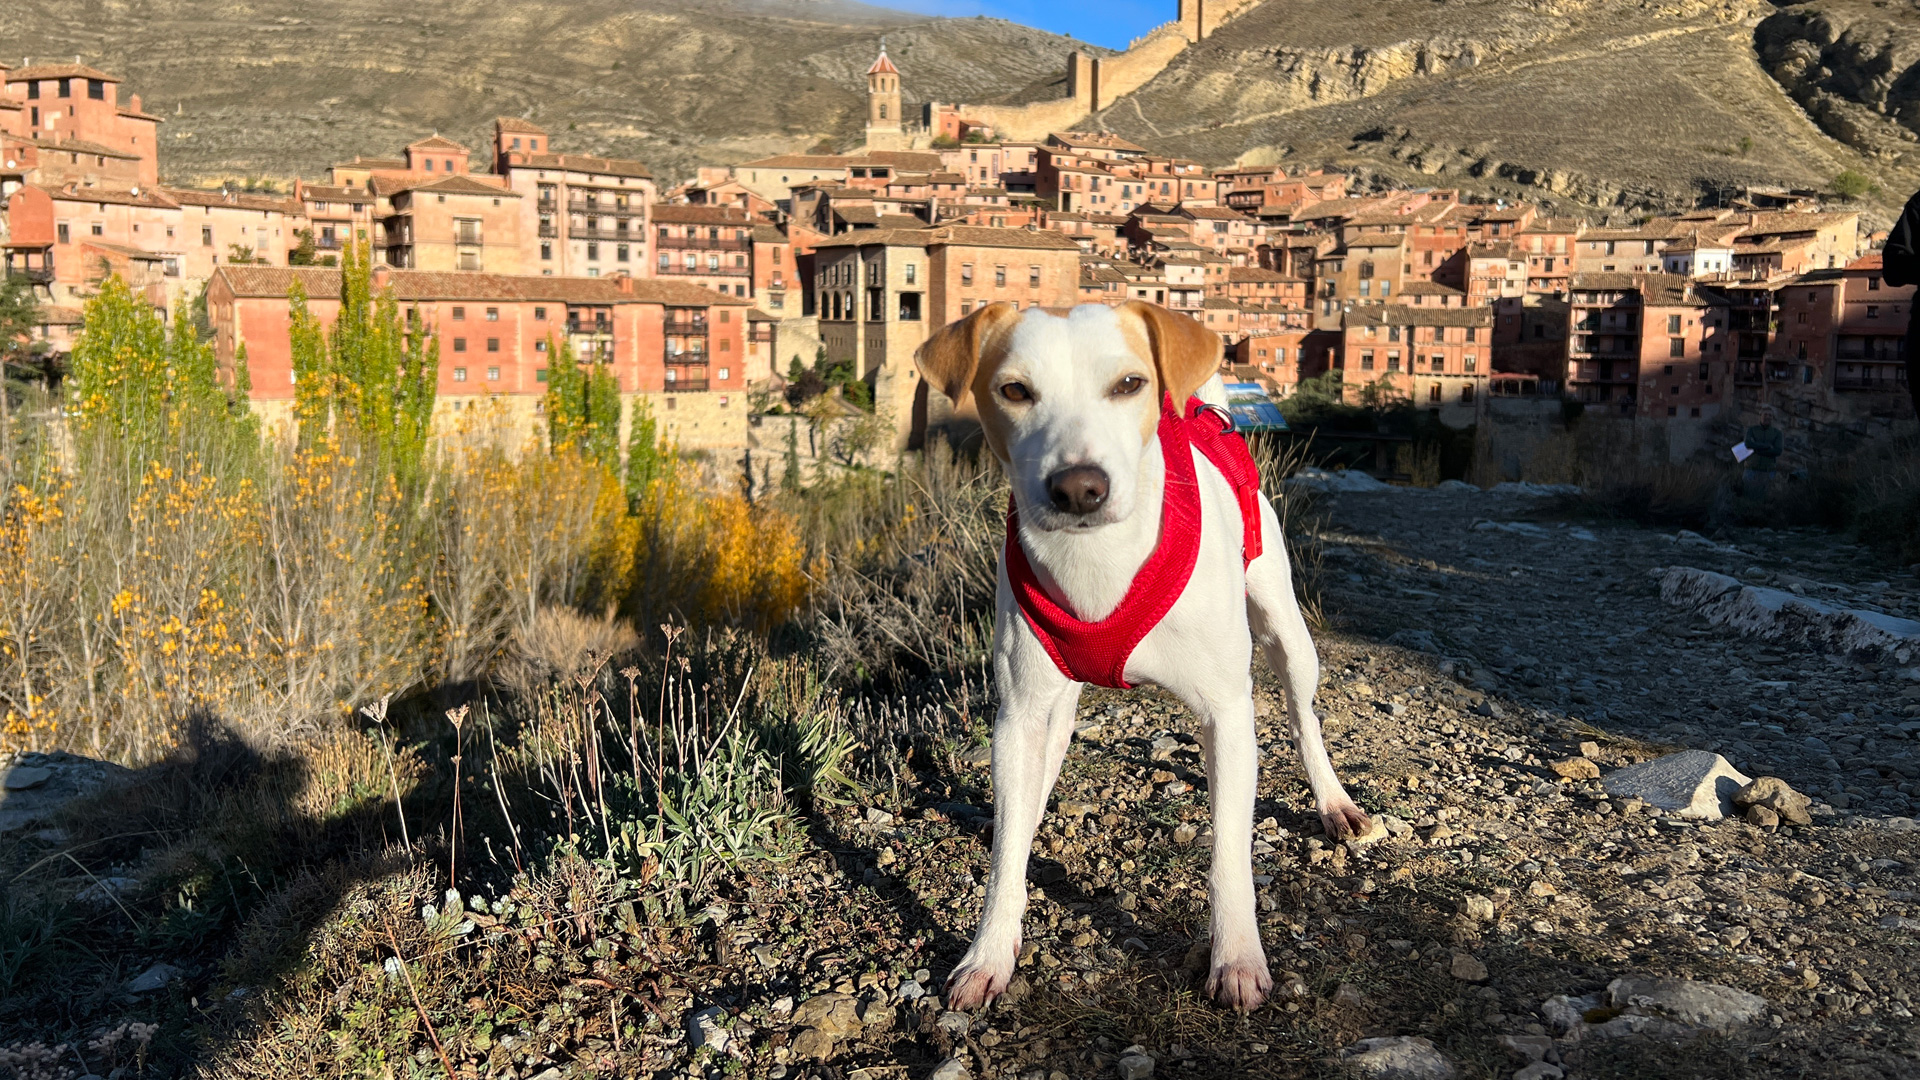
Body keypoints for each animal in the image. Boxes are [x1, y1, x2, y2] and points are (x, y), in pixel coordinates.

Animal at [910, 295, 1367, 1006]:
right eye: (1014, 390)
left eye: (1129, 384)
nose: (1078, 487)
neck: (1098, 564)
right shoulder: (1018, 714)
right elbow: (1007, 854)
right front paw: (987, 953)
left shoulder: (1227, 715)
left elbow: (1228, 851)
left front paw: (1236, 958)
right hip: (1057, 701)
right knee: (1041, 770)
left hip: (1287, 634)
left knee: (1304, 716)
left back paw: (1332, 800)